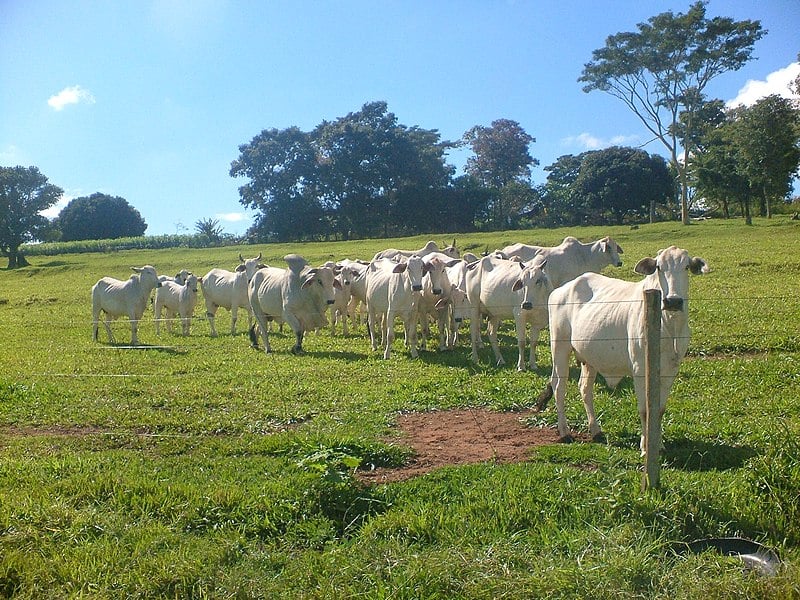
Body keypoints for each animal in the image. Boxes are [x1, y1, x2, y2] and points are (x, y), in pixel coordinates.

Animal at [544, 247, 708, 450]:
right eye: (659, 267)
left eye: (686, 266)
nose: (673, 301)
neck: (669, 326)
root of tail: (561, 289)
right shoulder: (639, 369)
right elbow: (645, 410)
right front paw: (645, 447)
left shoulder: (670, 371)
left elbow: (659, 410)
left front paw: (658, 445)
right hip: (560, 348)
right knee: (559, 386)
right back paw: (565, 432)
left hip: (589, 358)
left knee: (585, 388)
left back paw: (596, 430)